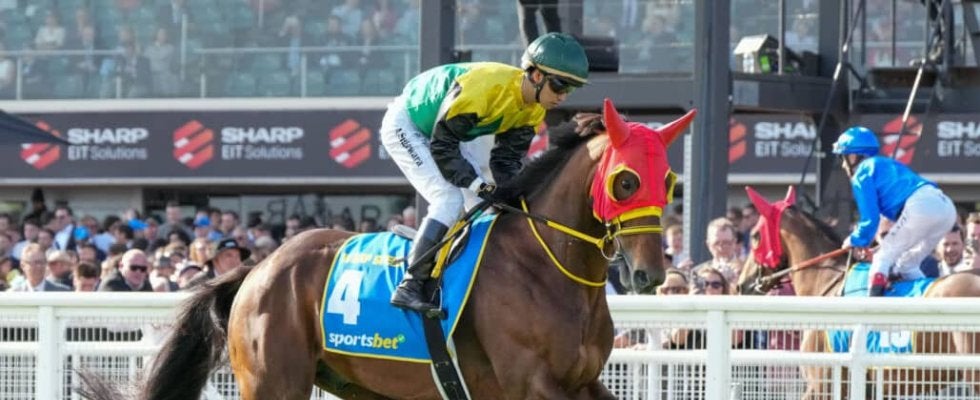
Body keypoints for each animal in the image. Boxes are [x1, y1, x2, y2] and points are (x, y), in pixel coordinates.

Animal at [79, 98, 693, 400]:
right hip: (274, 381)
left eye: (668, 182)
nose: (649, 275)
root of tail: (258, 268)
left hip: (359, 383)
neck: (545, 268)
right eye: (625, 182)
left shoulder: (583, 382)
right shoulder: (529, 384)